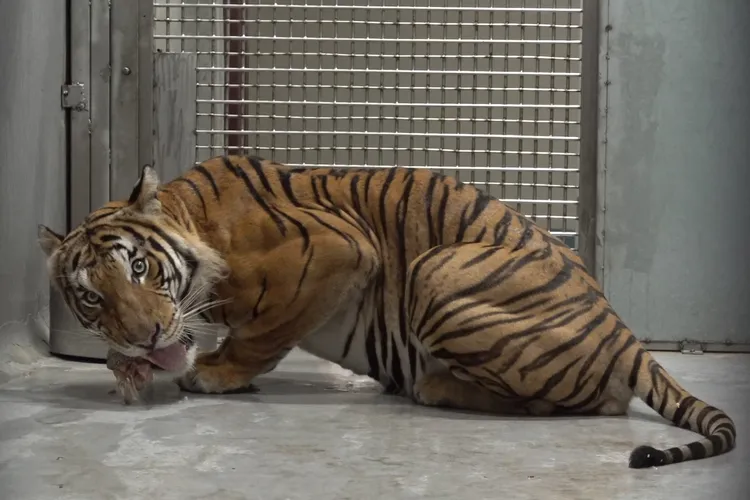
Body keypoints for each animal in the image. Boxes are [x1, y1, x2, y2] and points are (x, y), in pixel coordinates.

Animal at [38, 154, 736, 468]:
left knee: (595, 403)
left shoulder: (337, 250)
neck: (197, 221)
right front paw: (128, 367)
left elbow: (261, 335)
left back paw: (431, 385)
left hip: (437, 268)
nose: (145, 335)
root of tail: (626, 335)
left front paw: (213, 374)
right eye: (92, 297)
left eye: (139, 268)